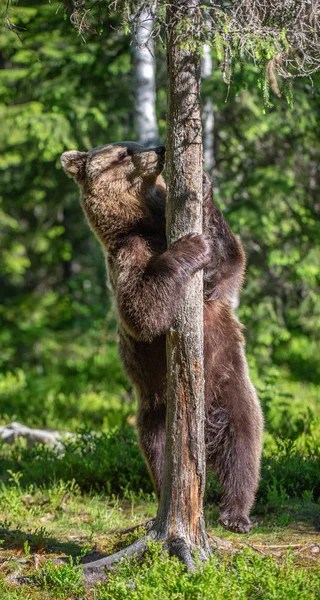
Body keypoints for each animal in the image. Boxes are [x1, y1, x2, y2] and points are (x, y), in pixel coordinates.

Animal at [61, 142, 264, 536]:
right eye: (124, 151)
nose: (157, 147)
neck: (143, 221)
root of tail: (205, 424)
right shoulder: (126, 256)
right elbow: (143, 310)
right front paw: (189, 246)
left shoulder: (211, 283)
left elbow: (229, 261)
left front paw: (203, 187)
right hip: (158, 406)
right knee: (157, 453)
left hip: (231, 386)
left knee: (243, 445)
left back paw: (236, 514)